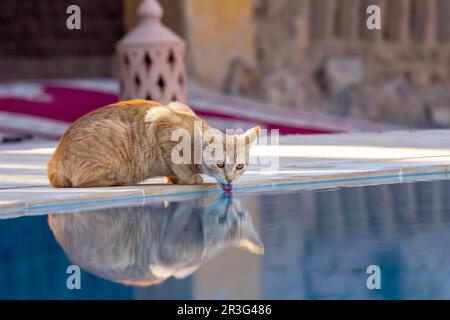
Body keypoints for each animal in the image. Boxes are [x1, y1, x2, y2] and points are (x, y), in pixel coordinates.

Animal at [47, 100, 258, 189]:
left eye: (239, 167)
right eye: (220, 164)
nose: (230, 179)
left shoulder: (176, 104)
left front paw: (173, 178)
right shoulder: (160, 119)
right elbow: (178, 163)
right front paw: (189, 178)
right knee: (81, 182)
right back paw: (118, 181)